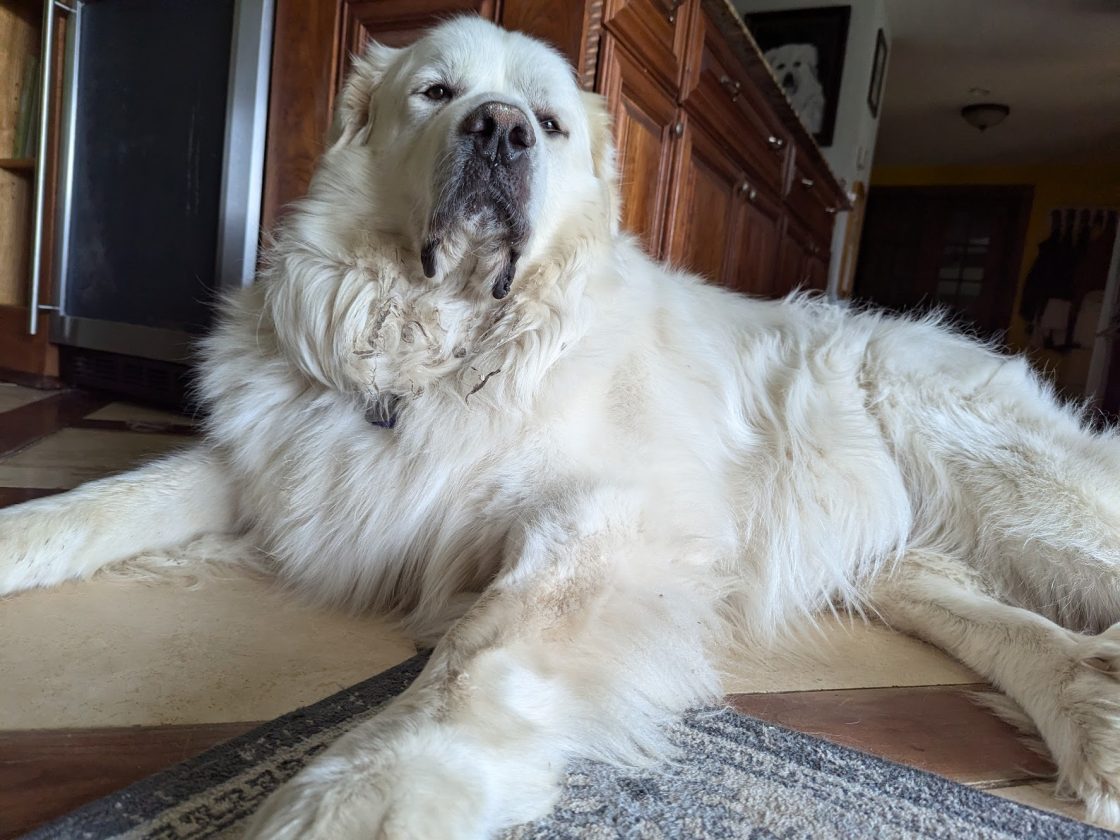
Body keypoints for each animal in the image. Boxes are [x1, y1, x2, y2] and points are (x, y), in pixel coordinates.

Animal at [2, 16, 1120, 837]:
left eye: (548, 120)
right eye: (435, 92)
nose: (501, 131)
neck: (439, 351)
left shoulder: (612, 526)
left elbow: (475, 660)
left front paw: (360, 799)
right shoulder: (277, 463)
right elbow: (101, 500)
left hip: (1001, 479)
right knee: (990, 613)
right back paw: (1093, 708)